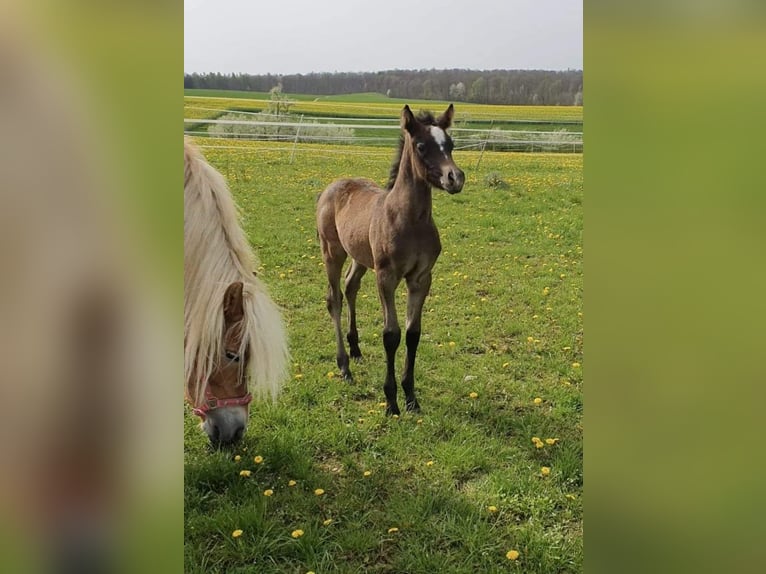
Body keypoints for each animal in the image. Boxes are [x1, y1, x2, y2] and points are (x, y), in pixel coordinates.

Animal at [316, 104, 464, 418]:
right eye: (421, 146)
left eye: (450, 144)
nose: (455, 178)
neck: (410, 221)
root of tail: (332, 186)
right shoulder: (386, 277)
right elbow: (391, 335)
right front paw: (392, 401)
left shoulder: (421, 278)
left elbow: (413, 333)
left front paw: (411, 397)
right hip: (332, 251)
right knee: (334, 298)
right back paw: (344, 366)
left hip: (360, 256)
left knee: (350, 287)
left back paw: (356, 350)